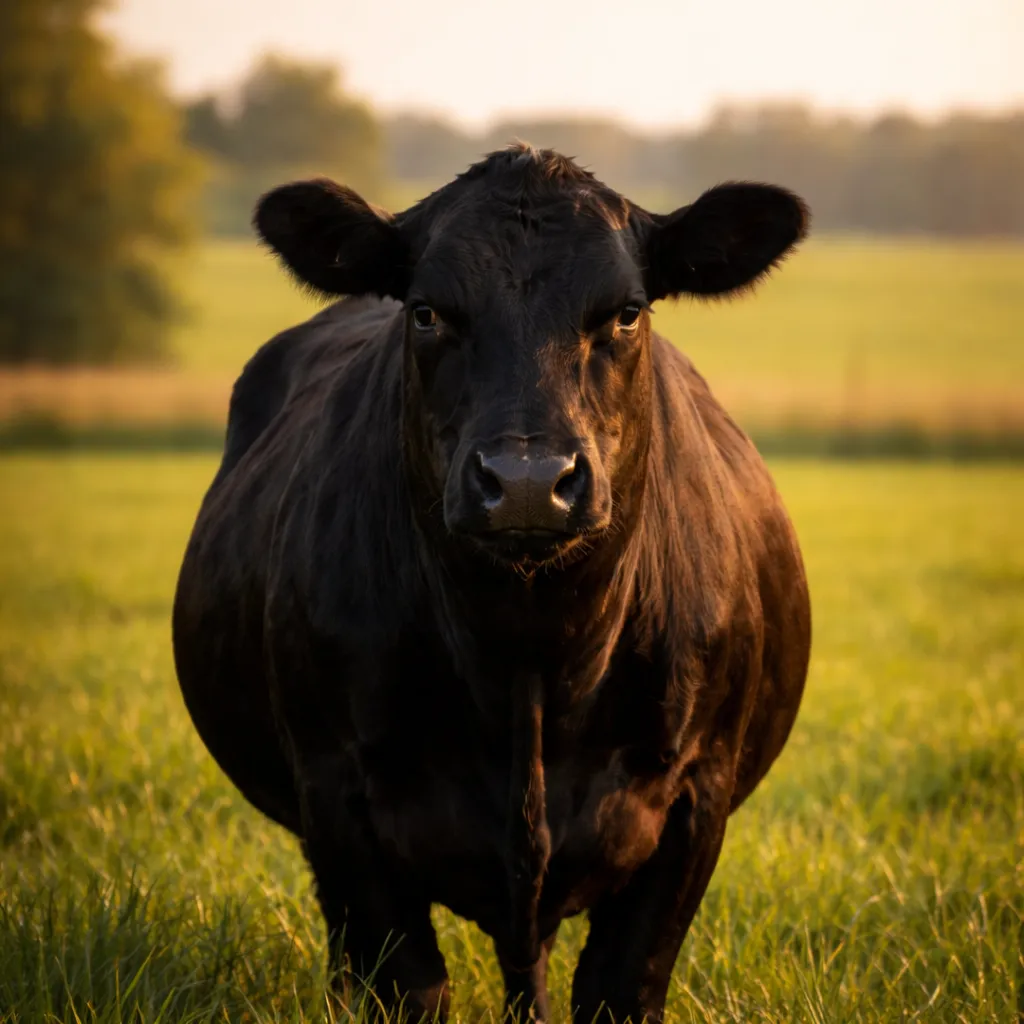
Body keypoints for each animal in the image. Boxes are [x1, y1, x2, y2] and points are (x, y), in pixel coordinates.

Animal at [173, 144, 811, 1023]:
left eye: (626, 313)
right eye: (427, 313)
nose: (527, 481)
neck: (528, 657)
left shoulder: (695, 795)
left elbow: (620, 987)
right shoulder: (337, 795)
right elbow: (406, 985)